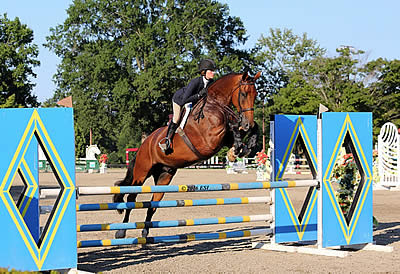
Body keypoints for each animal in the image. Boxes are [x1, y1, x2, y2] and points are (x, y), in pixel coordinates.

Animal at [113, 71, 262, 240]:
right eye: (243, 94)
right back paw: (121, 231)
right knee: (131, 198)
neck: (215, 105)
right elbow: (231, 127)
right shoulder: (210, 139)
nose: (247, 124)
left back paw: (145, 232)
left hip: (164, 175)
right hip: (142, 172)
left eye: (256, 94)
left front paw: (244, 147)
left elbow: (243, 131)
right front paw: (237, 147)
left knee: (154, 203)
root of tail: (144, 144)